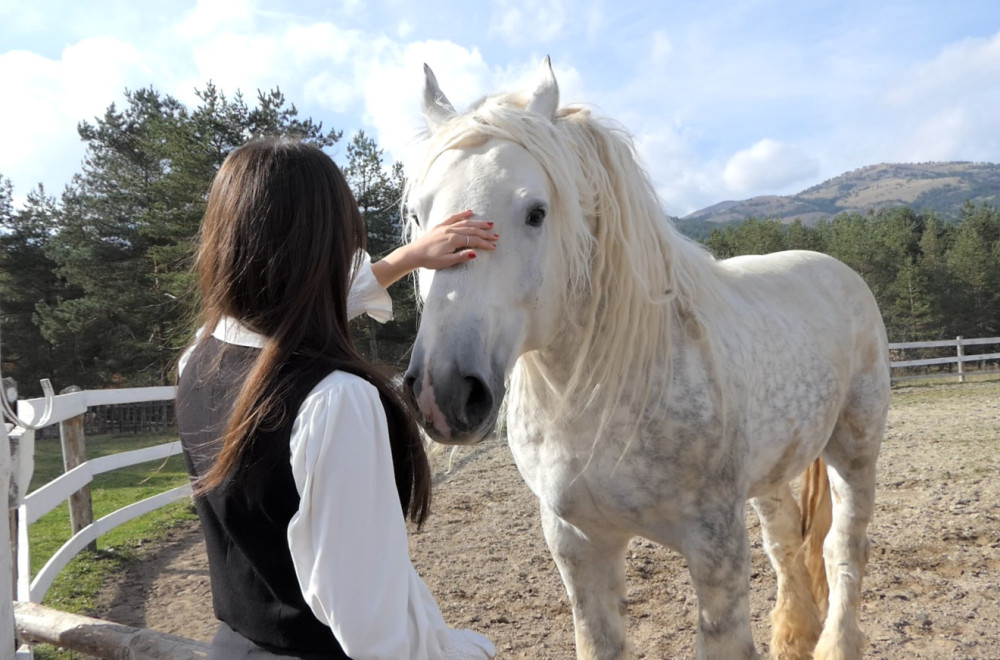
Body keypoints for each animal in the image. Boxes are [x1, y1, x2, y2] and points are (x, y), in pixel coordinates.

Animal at [402, 59, 888, 656]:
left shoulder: (716, 549)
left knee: (844, 547)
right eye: (418, 216)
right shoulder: (578, 546)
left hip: (856, 448)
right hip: (773, 470)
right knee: (785, 542)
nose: (443, 391)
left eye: (536, 212)